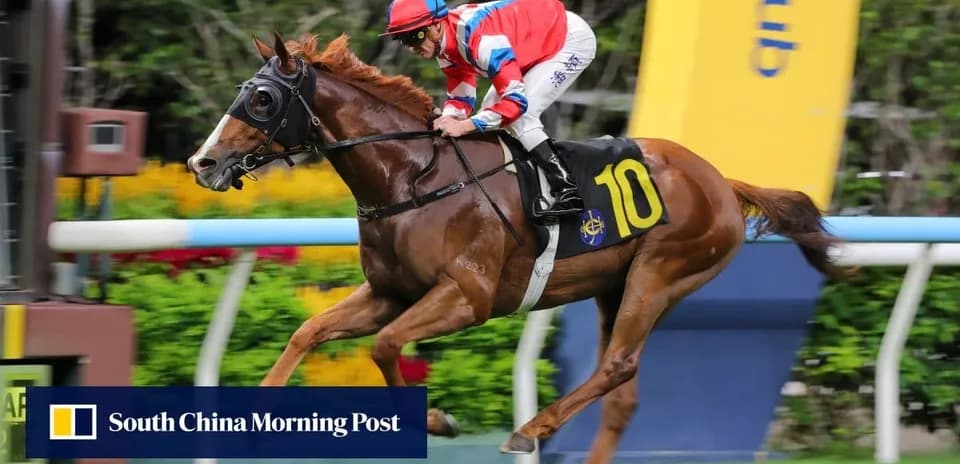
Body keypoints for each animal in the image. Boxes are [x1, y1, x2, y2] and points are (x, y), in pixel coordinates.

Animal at [185, 32, 848, 462]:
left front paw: (438, 419)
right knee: (622, 396)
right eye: (247, 92)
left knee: (618, 365)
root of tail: (721, 181)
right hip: (616, 290)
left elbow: (386, 345)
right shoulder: (389, 292)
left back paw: (530, 429)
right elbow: (310, 331)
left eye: (263, 99)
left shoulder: (468, 296)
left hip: (661, 275)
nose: (202, 162)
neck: (412, 177)